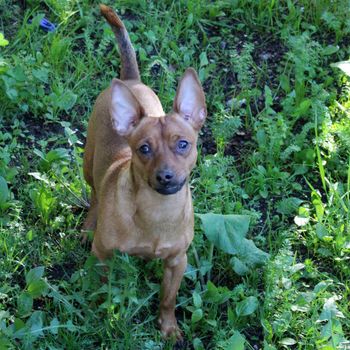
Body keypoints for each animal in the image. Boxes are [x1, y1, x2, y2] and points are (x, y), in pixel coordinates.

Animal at [82, 4, 205, 340]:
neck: (157, 211)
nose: (165, 176)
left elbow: (168, 298)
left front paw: (169, 328)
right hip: (87, 164)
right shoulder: (103, 256)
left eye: (183, 144)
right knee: (94, 194)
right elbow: (107, 290)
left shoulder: (177, 261)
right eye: (144, 149)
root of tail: (131, 80)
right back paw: (88, 223)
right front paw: (107, 317)